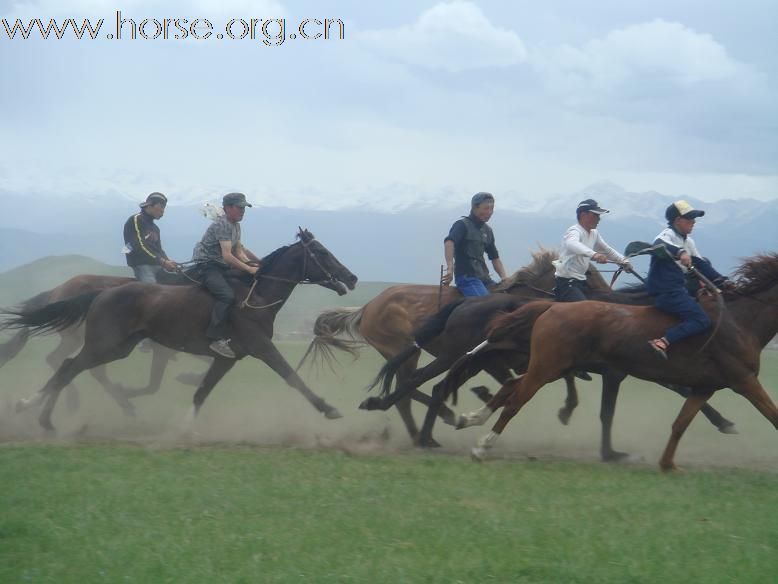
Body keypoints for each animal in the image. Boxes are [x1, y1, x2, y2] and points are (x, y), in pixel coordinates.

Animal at [0, 230, 358, 432]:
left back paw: (44, 416)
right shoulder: (261, 348)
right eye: (321, 252)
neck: (255, 296)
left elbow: (202, 389)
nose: (352, 277)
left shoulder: (227, 357)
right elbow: (292, 376)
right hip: (105, 344)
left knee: (69, 367)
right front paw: (329, 409)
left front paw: (185, 425)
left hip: (118, 347)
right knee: (68, 367)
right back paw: (36, 411)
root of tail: (99, 293)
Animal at [298, 248, 608, 442]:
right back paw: (428, 425)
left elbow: (560, 376)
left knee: (409, 386)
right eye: (590, 274)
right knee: (409, 387)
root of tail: (367, 307)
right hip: (408, 351)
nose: (607, 295)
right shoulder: (493, 361)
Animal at [358, 282, 732, 456]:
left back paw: (424, 429)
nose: (716, 315)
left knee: (428, 385)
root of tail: (464, 302)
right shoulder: (616, 372)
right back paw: (420, 430)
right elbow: (608, 409)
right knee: (422, 383)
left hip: (468, 359)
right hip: (457, 356)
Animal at [454, 253, 776, 472]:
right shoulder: (743, 380)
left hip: (550, 367)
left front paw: (668, 461)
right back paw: (483, 445)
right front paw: (613, 454)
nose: (712, 288)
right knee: (515, 400)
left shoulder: (702, 385)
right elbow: (772, 414)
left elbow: (680, 421)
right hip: (547, 367)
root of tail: (551, 307)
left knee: (510, 385)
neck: (739, 320)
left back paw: (471, 418)